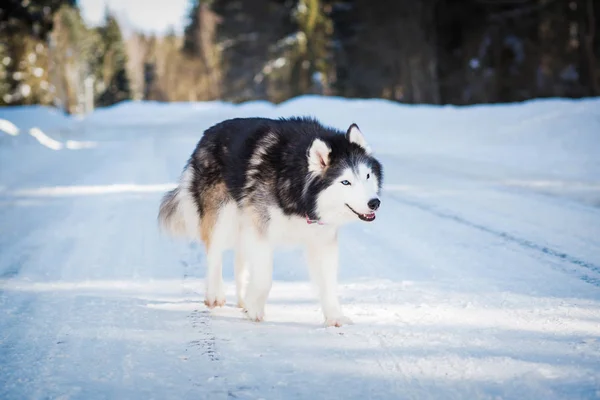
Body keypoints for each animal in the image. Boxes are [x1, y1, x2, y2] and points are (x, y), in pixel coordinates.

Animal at [158, 117, 384, 326]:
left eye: (367, 175)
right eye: (345, 182)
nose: (374, 203)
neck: (297, 189)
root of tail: (208, 133)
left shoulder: (322, 241)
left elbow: (328, 284)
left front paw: (334, 317)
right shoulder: (261, 232)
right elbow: (265, 278)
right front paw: (255, 308)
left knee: (239, 261)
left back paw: (242, 299)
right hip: (223, 218)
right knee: (214, 255)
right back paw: (215, 295)